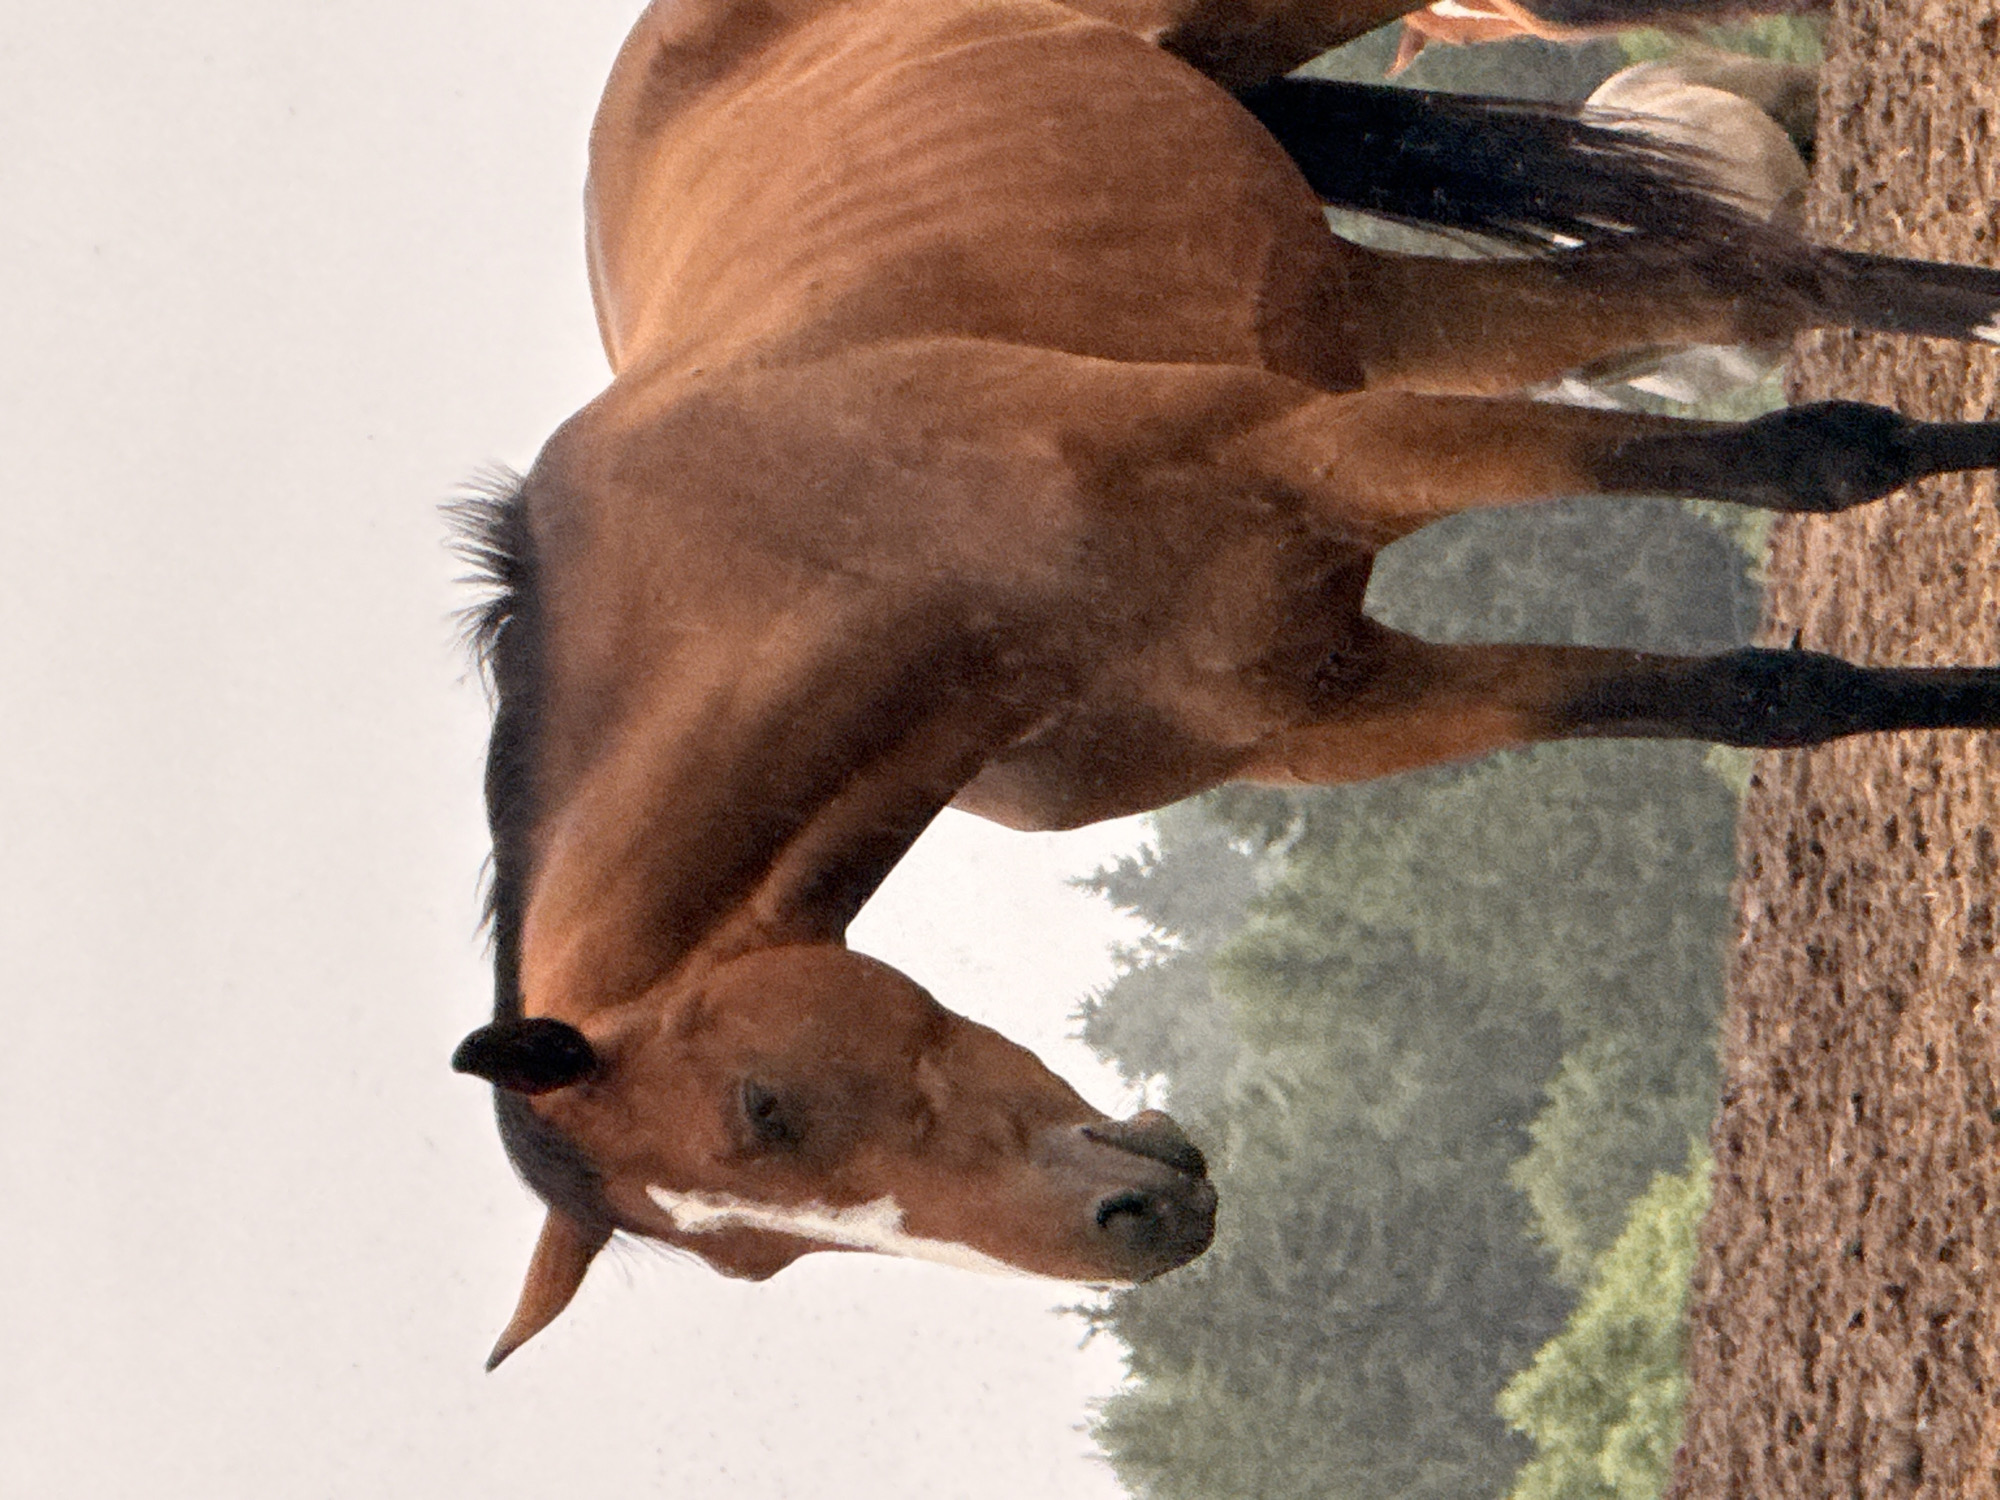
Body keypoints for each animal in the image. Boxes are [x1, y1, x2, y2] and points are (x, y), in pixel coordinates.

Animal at [450, 0, 2000, 1369]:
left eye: (763, 1106)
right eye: (761, 1256)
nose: (1135, 1224)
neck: (858, 530)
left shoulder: (1327, 453)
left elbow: (1815, 462)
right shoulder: (1340, 702)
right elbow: (1769, 698)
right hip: (1385, 297)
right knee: (1744, 287)